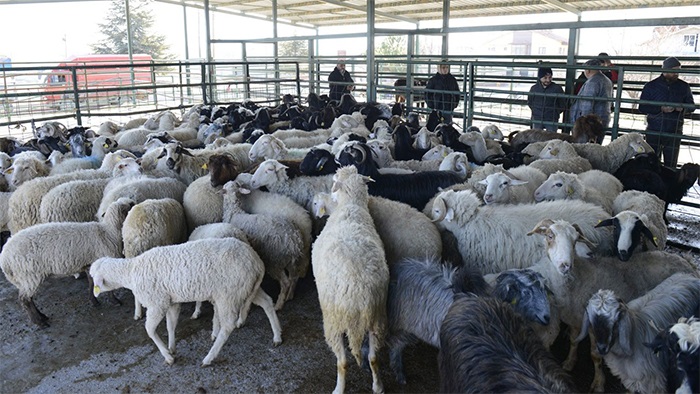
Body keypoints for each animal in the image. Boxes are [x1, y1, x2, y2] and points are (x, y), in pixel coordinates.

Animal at [0, 199, 134, 328]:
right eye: (131, 204)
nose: (136, 203)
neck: (109, 232)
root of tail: (4, 258)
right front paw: (115, 301)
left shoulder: (89, 265)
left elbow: (91, 283)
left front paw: (93, 301)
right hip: (29, 275)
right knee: (25, 300)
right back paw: (39, 322)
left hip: (25, 278)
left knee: (29, 298)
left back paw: (42, 316)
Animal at [89, 239, 282, 368]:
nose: (93, 293)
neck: (130, 272)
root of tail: (257, 262)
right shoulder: (170, 301)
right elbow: (170, 325)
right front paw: (171, 347)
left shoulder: (157, 303)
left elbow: (150, 330)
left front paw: (168, 357)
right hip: (246, 287)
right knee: (267, 302)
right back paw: (277, 336)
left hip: (228, 293)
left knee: (228, 326)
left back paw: (208, 358)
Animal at [312, 166, 388, 394]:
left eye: (333, 182)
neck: (351, 206)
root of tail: (357, 293)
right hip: (377, 319)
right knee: (373, 357)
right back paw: (378, 386)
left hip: (333, 322)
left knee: (343, 362)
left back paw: (338, 389)